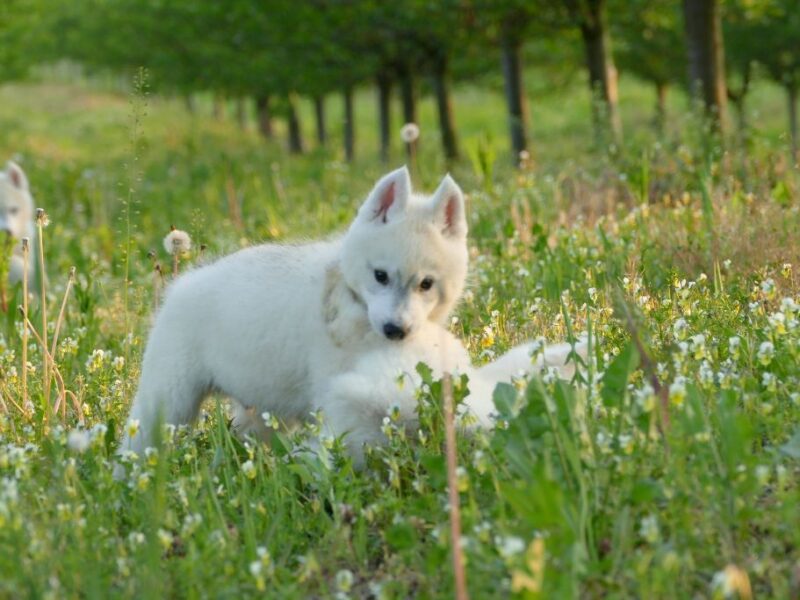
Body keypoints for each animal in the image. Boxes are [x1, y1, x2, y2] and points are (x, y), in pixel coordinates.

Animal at [120, 166, 468, 458]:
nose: (396, 330)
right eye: (380, 276)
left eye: (426, 284)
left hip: (260, 409)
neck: (351, 301)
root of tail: (182, 284)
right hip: (168, 399)